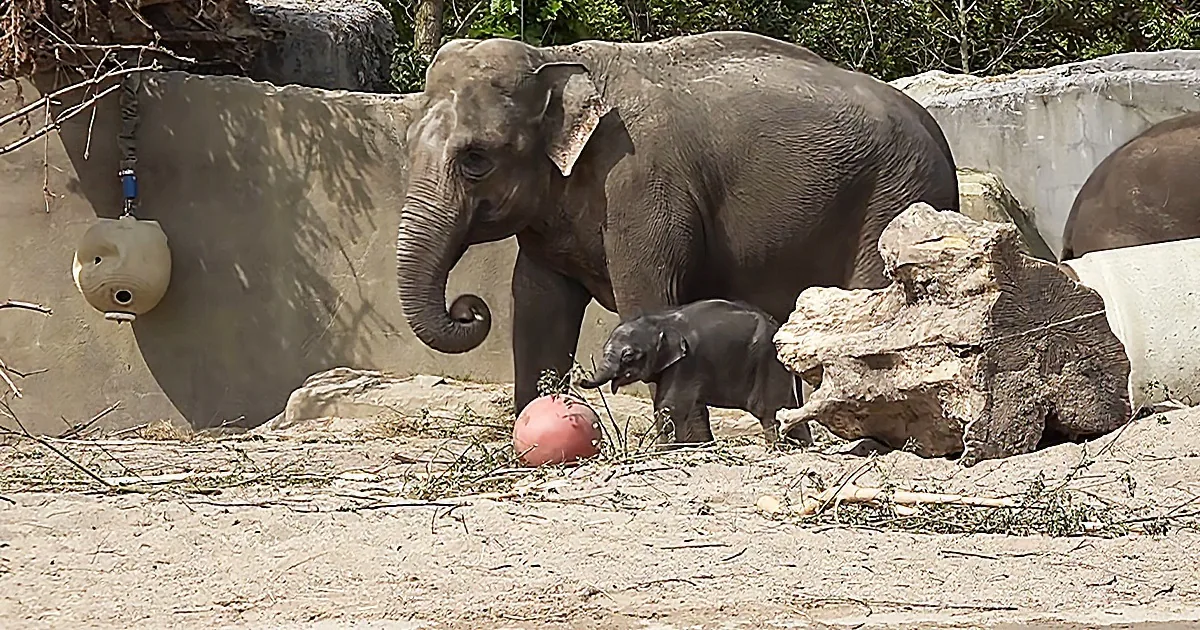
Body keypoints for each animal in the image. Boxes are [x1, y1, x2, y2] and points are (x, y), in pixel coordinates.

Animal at [395, 30, 961, 415]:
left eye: (475, 159)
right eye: (407, 144)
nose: (468, 307)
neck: (553, 58)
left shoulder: (642, 186)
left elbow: (646, 295)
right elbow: (538, 303)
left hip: (895, 197)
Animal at [577, 299, 813, 448]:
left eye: (628, 355)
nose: (579, 376)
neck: (660, 321)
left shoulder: (687, 362)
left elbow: (670, 406)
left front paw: (663, 451)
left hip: (766, 361)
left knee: (768, 410)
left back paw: (776, 448)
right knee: (788, 408)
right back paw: (803, 446)